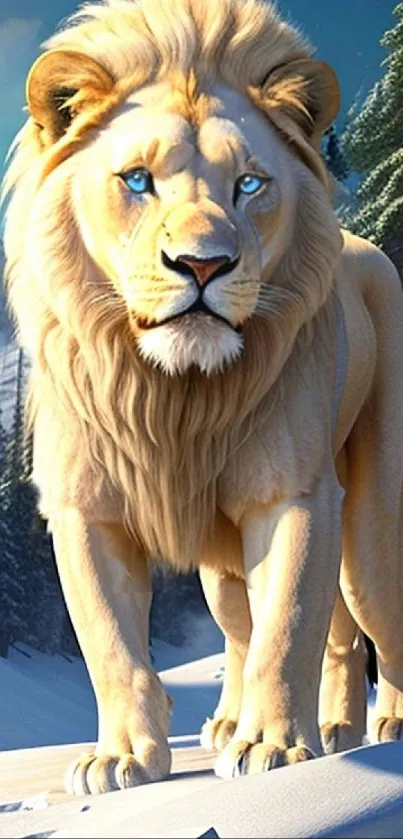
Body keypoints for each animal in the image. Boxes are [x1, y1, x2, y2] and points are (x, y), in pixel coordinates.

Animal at [3, 0, 403, 796]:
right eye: (136, 180)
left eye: (249, 184)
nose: (202, 264)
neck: (172, 396)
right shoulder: (85, 510)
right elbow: (112, 645)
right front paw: (123, 759)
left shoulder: (292, 495)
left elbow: (288, 623)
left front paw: (274, 748)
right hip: (220, 572)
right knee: (292, 634)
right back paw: (315, 730)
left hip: (372, 530)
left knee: (371, 617)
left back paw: (382, 728)